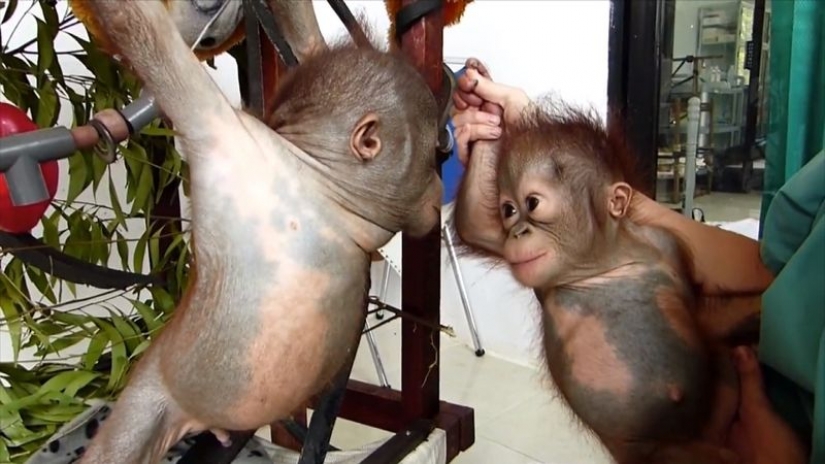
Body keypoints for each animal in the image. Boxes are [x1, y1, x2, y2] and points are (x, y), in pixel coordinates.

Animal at [75, 2, 442, 463]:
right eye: (434, 154)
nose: (439, 187)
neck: (316, 183)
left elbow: (306, 43)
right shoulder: (224, 131)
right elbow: (141, 31)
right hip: (153, 388)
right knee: (119, 444)